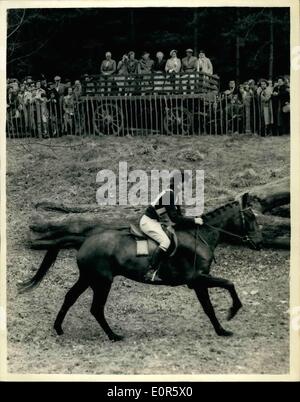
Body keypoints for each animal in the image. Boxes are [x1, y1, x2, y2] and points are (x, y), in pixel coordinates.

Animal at [19, 192, 262, 340]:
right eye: (250, 217)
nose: (258, 244)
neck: (199, 236)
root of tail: (85, 240)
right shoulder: (197, 279)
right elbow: (229, 284)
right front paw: (232, 312)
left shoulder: (198, 282)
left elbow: (209, 308)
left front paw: (222, 330)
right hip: (102, 281)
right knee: (96, 308)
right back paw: (114, 336)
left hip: (88, 278)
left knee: (70, 297)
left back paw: (59, 328)